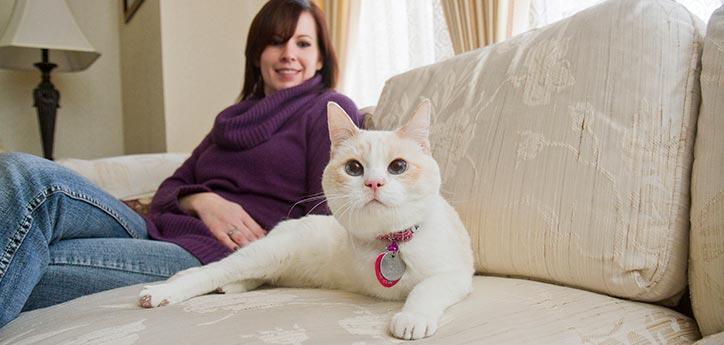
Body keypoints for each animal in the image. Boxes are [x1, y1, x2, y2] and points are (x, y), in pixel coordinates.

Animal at [137, 99, 476, 338]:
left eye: (398, 166)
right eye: (354, 168)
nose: (374, 183)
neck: (391, 242)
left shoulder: (455, 275)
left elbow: (425, 289)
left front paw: (412, 317)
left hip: (271, 264)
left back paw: (228, 288)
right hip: (266, 253)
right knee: (212, 270)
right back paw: (164, 291)